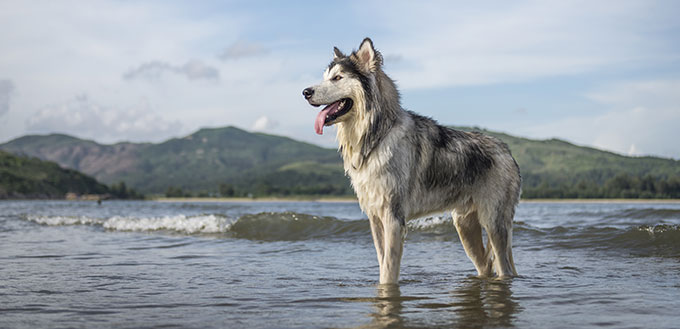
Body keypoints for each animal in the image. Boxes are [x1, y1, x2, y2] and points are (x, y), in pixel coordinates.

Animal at [302, 37, 520, 282]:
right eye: (325, 77)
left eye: (337, 78)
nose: (305, 92)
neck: (378, 135)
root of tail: (507, 151)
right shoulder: (375, 219)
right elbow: (382, 263)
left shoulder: (393, 218)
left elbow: (388, 270)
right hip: (465, 227)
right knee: (486, 266)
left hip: (494, 225)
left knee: (504, 267)